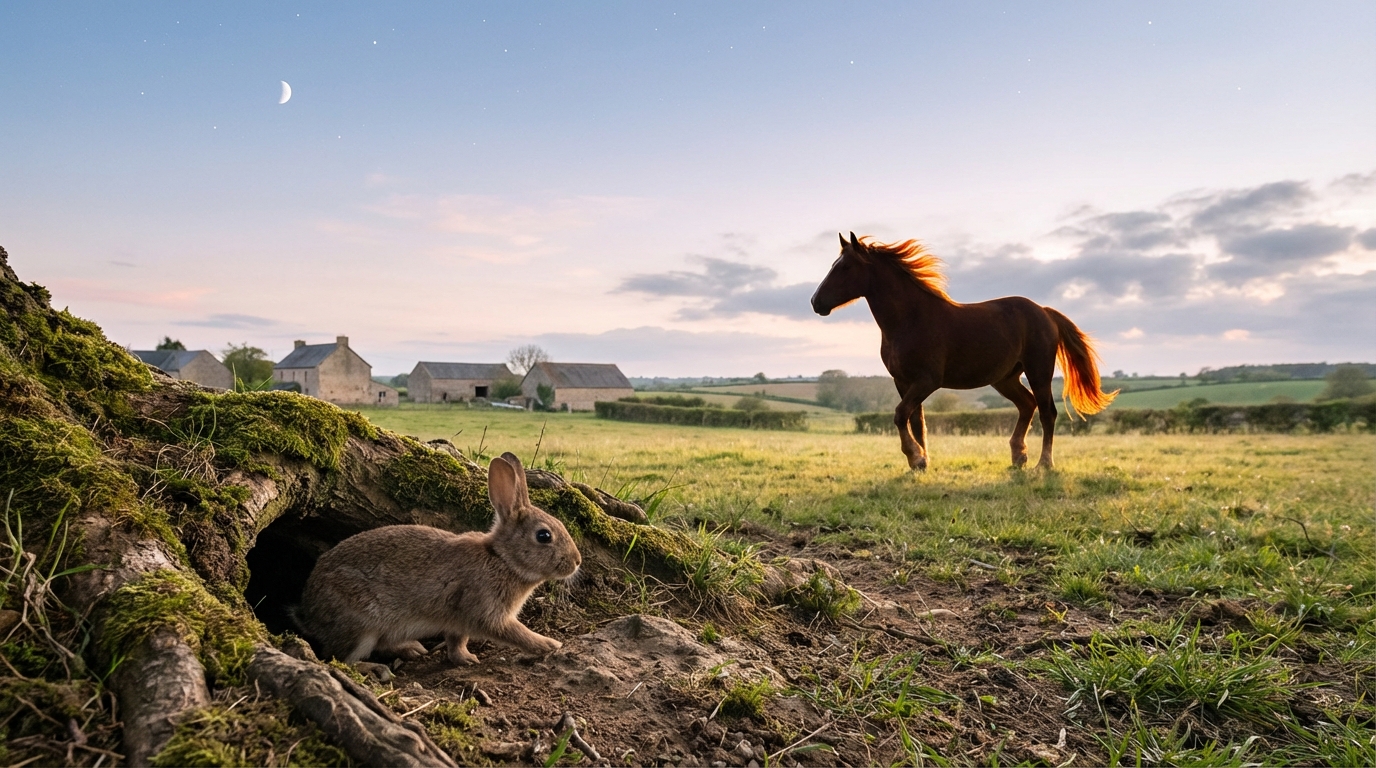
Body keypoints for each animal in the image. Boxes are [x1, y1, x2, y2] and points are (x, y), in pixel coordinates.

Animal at [293, 451, 581, 664]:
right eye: (544, 536)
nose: (577, 561)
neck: (502, 559)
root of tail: (309, 612)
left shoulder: (458, 621)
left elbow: (457, 641)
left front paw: (465, 659)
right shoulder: (487, 611)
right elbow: (514, 632)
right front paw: (549, 645)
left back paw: (412, 649)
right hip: (361, 626)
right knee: (341, 658)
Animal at [811, 233, 1117, 471]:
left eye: (845, 267)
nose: (815, 302)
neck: (911, 319)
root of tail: (1044, 312)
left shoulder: (927, 381)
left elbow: (900, 415)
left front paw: (916, 457)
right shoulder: (903, 381)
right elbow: (916, 420)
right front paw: (921, 462)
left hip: (1039, 371)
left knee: (1047, 412)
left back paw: (1044, 463)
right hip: (1005, 378)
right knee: (1027, 404)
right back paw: (1018, 456)